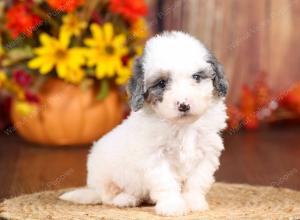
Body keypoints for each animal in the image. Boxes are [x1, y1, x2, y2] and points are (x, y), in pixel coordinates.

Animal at [59, 31, 229, 217]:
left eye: (196, 77)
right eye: (161, 83)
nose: (184, 105)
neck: (183, 127)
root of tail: (93, 188)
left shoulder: (206, 154)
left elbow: (197, 181)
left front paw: (193, 202)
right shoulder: (156, 157)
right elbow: (166, 183)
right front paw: (172, 206)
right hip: (105, 174)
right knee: (108, 196)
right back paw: (125, 199)